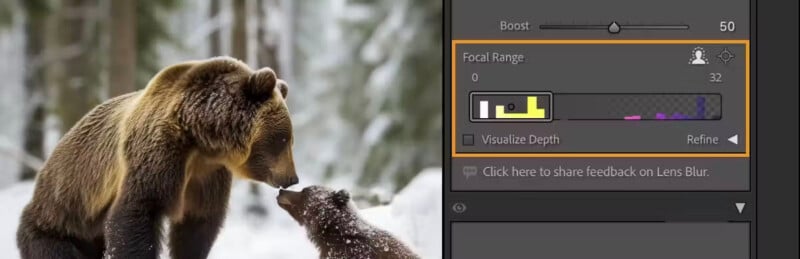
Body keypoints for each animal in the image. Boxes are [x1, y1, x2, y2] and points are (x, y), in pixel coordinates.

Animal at [17, 57, 298, 259]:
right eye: (284, 139)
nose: (292, 178)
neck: (200, 137)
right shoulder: (158, 153)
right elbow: (138, 211)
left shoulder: (207, 174)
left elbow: (197, 225)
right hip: (60, 225)